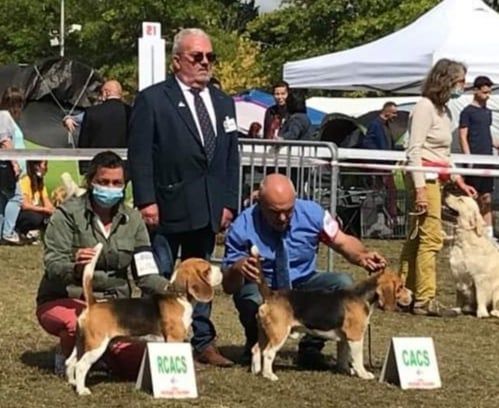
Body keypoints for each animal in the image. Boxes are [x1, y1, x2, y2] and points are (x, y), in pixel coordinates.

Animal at [66, 242, 223, 396]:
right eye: (207, 270)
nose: (221, 270)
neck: (178, 296)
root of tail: (93, 304)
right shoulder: (175, 339)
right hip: (97, 345)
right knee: (80, 366)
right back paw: (82, 390)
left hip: (81, 342)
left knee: (70, 362)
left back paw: (73, 383)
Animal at [252, 245, 412, 382]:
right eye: (400, 287)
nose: (412, 294)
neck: (363, 296)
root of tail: (271, 295)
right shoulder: (355, 336)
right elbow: (358, 358)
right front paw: (363, 373)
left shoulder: (344, 338)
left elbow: (343, 356)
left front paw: (345, 370)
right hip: (279, 333)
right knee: (268, 353)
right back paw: (269, 375)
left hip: (264, 333)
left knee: (256, 349)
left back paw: (256, 371)